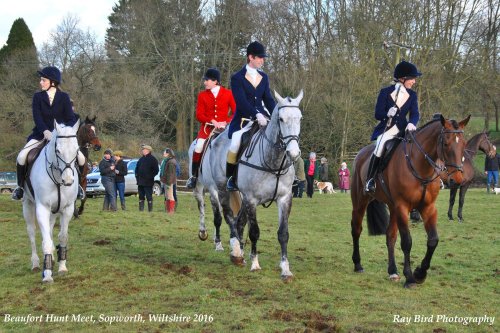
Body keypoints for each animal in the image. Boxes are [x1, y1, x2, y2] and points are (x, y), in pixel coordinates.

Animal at [23, 120, 80, 282]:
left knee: (49, 229)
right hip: (28, 204)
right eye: (58, 151)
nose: (68, 181)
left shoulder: (67, 209)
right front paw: (47, 274)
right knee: (31, 232)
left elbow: (63, 237)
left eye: (77, 150)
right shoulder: (42, 208)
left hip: (54, 211)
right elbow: (46, 242)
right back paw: (36, 263)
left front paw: (62, 267)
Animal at [352, 113, 468, 286]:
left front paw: (420, 273)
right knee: (356, 229)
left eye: (464, 144)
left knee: (390, 236)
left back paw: (393, 271)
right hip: (360, 201)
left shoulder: (428, 207)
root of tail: (361, 153)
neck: (421, 166)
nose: (457, 180)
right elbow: (407, 242)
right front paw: (410, 277)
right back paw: (358, 264)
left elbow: (433, 240)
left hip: (392, 206)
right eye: (446, 143)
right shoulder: (402, 207)